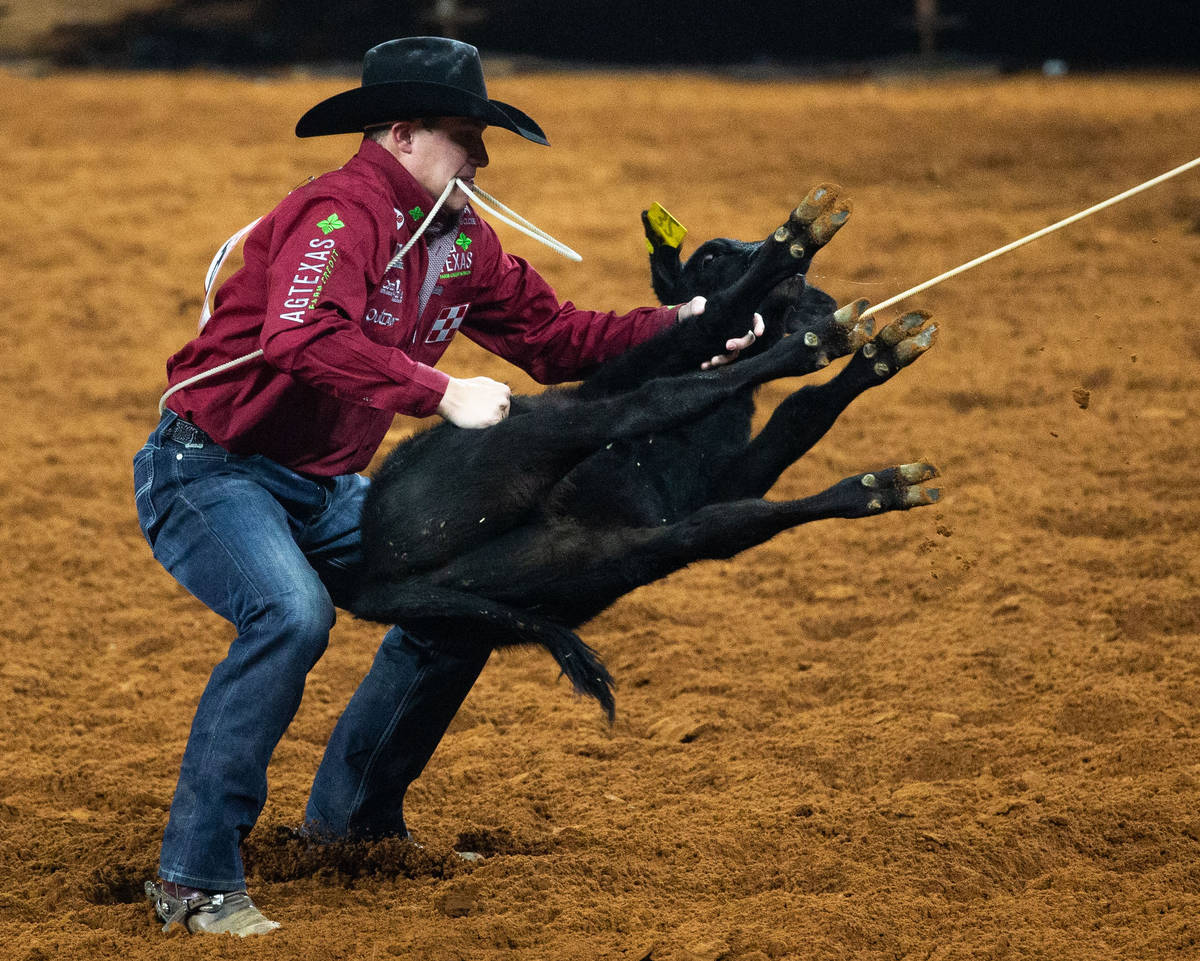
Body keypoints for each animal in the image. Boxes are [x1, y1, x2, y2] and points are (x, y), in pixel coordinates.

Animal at [348, 183, 936, 715]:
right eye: (711, 254)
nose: (805, 286)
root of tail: (370, 575)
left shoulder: (719, 484)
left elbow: (796, 417)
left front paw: (878, 356)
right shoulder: (634, 371)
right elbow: (703, 334)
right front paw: (795, 246)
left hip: (590, 562)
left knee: (719, 529)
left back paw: (883, 485)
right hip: (533, 438)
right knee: (649, 404)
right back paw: (814, 328)